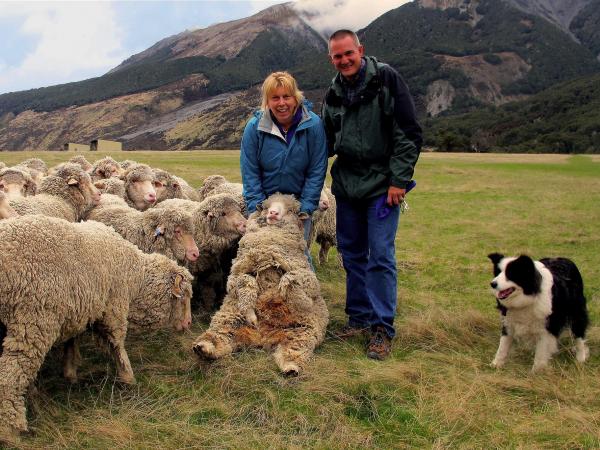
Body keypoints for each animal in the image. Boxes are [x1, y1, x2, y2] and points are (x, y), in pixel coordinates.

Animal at [0, 214, 192, 442]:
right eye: (184, 298)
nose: (189, 323)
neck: (135, 276)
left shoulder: (81, 307)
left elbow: (72, 339)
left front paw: (70, 371)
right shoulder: (114, 307)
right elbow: (117, 343)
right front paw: (128, 377)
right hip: (33, 321)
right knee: (11, 374)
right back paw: (10, 429)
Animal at [193, 192, 328, 376]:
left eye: (291, 210)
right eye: (266, 206)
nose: (273, 213)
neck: (269, 245)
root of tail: (263, 337)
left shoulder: (306, 276)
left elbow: (291, 279)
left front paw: (295, 297)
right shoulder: (240, 270)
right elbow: (245, 283)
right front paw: (251, 313)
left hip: (302, 332)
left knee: (293, 351)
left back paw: (291, 368)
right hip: (228, 319)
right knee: (219, 337)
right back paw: (204, 347)